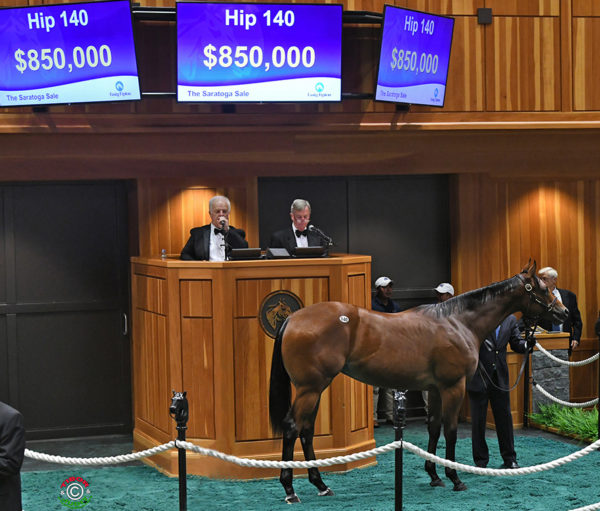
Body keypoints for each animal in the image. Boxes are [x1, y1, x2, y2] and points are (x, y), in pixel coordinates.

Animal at [270, 262, 568, 502]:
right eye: (542, 288)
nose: (563, 312)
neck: (457, 322)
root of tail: (292, 319)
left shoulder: (434, 389)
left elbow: (433, 428)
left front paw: (434, 475)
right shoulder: (453, 387)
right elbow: (450, 431)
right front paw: (455, 478)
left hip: (316, 389)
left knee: (307, 430)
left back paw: (320, 484)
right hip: (310, 389)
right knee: (293, 427)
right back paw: (289, 490)